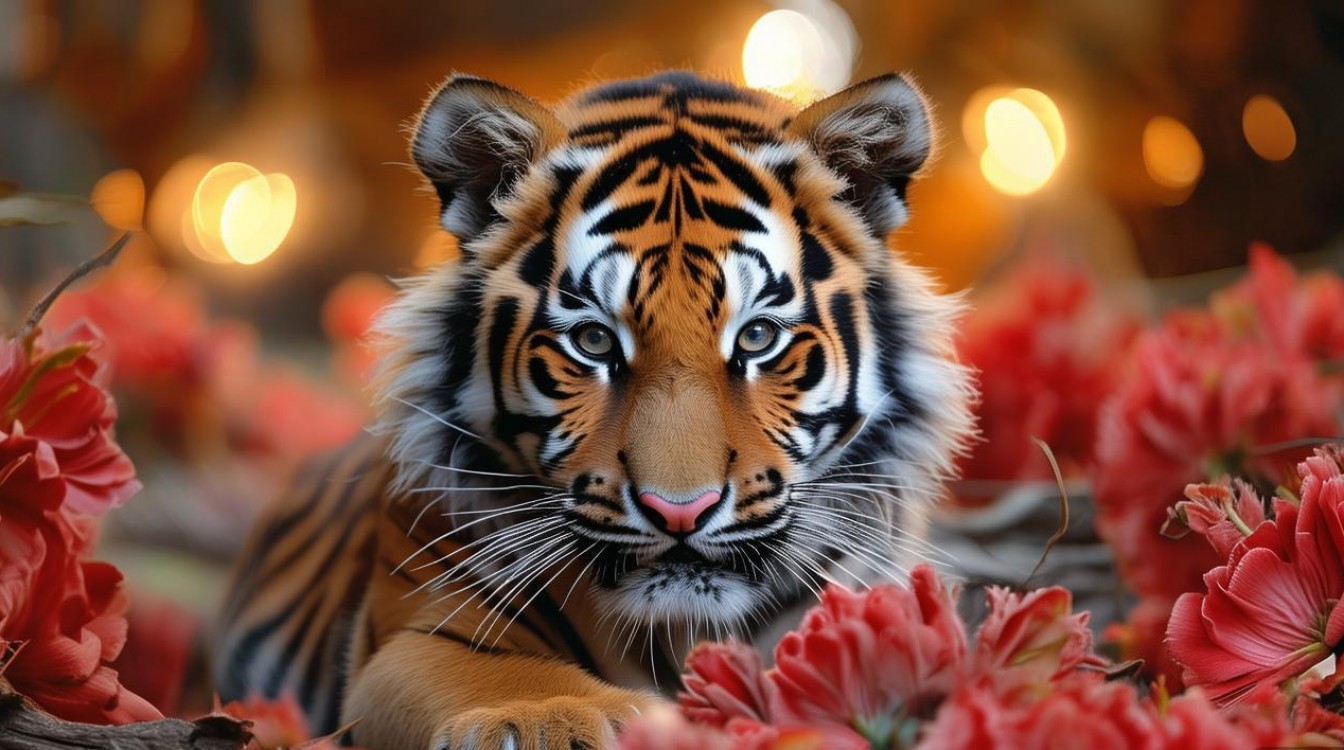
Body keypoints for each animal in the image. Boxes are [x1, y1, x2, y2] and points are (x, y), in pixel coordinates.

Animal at [214, 70, 974, 750]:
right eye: (594, 341)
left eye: (758, 337)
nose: (680, 513)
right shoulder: (410, 638)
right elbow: (496, 676)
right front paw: (546, 717)